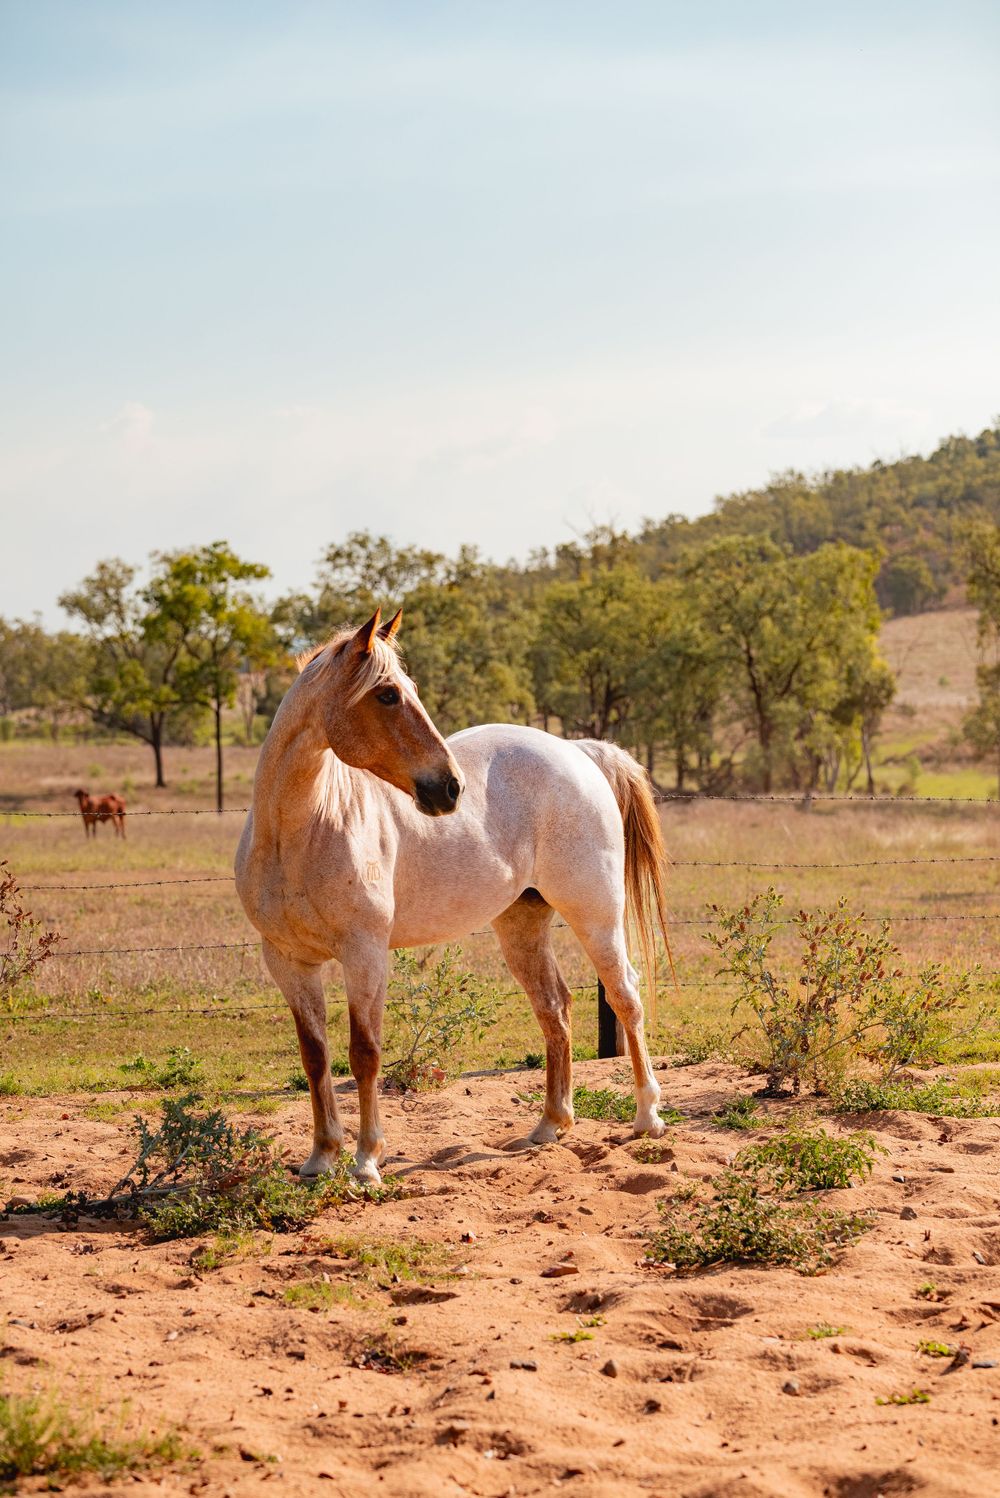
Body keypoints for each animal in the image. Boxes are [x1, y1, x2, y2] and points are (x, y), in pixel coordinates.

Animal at [235, 608, 670, 1184]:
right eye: (388, 694)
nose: (450, 789)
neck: (300, 834)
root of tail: (578, 752)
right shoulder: (289, 962)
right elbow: (315, 1056)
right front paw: (321, 1156)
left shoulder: (364, 955)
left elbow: (364, 1053)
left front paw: (366, 1160)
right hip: (521, 926)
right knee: (554, 1007)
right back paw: (550, 1125)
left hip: (596, 915)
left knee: (625, 997)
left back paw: (647, 1116)